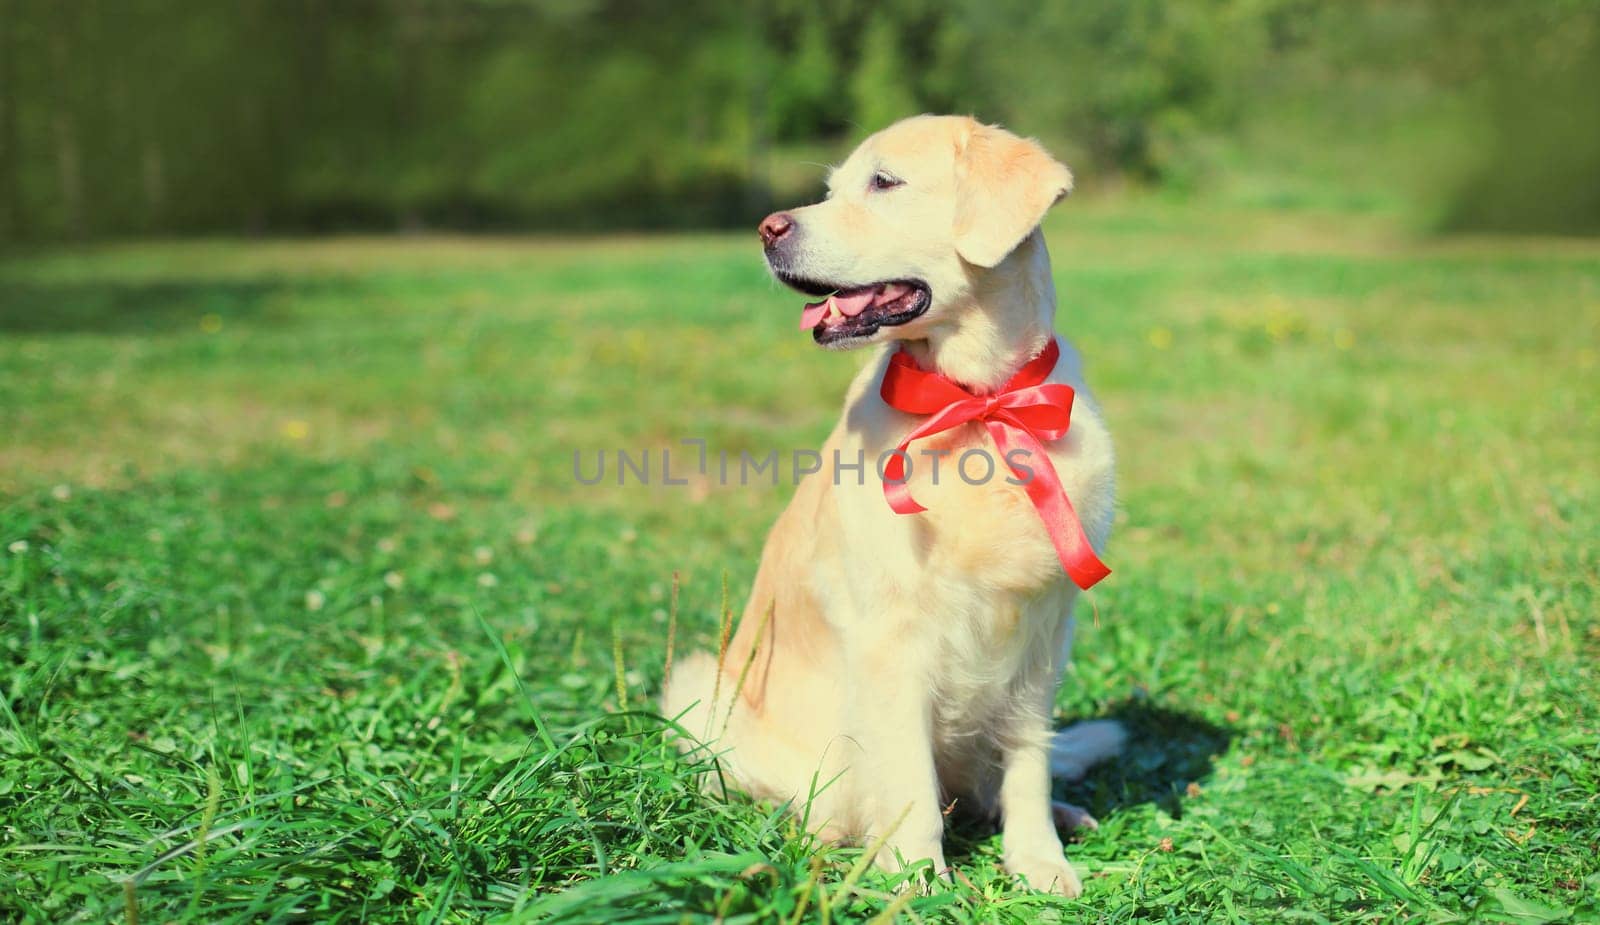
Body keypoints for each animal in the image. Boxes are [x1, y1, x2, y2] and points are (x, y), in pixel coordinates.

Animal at [662, 112, 1126, 889]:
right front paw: (918, 879)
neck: (974, 401)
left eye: (884, 182)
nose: (767, 228)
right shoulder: (891, 635)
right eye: (831, 189)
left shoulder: (1041, 634)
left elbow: (1028, 763)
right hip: (704, 688)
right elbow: (907, 774)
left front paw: (1037, 860)